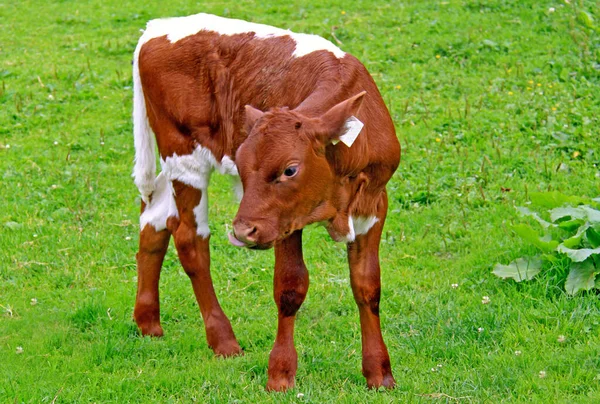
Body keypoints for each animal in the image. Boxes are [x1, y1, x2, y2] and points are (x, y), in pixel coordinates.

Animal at [134, 13, 400, 392]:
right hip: (184, 153)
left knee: (154, 216)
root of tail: (158, 27)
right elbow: (290, 288)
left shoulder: (375, 203)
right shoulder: (285, 223)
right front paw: (280, 373)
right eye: (242, 165)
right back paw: (223, 339)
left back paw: (148, 321)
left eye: (290, 169)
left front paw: (379, 372)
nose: (243, 231)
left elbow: (367, 285)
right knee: (188, 238)